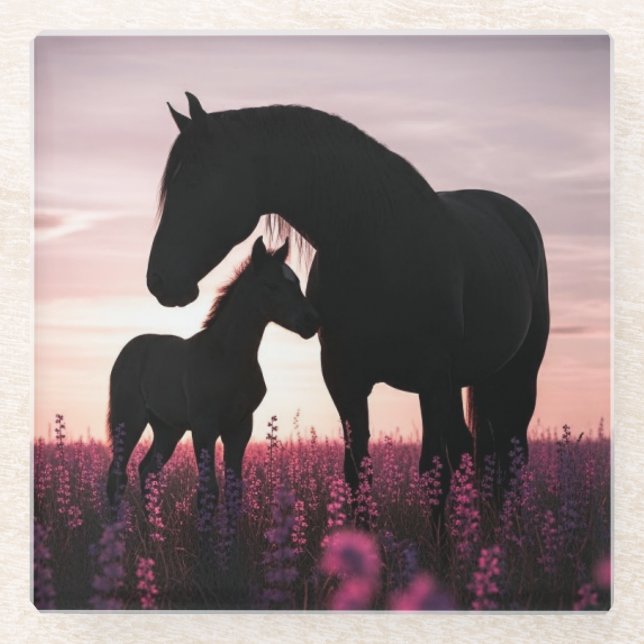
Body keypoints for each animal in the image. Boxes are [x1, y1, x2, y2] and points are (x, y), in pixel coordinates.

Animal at [107, 236, 320, 518]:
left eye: (296, 282)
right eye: (271, 285)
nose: (312, 320)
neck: (227, 357)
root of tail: (129, 349)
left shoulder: (240, 427)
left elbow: (234, 491)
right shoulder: (204, 426)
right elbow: (208, 492)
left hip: (168, 428)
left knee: (148, 469)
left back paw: (152, 525)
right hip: (129, 419)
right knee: (117, 474)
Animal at [146, 93, 549, 508]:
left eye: (193, 182)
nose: (158, 280)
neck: (377, 246)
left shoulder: (433, 377)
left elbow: (432, 472)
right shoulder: (345, 378)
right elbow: (358, 474)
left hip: (517, 374)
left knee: (510, 454)